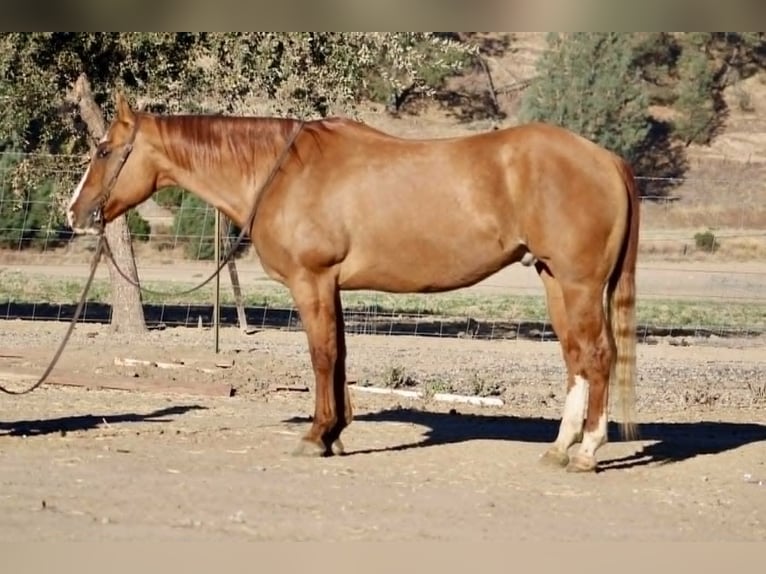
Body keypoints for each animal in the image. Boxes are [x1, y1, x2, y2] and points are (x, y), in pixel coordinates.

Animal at [67, 92, 640, 472]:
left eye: (102, 149)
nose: (75, 213)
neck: (282, 172)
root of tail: (606, 159)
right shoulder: (331, 286)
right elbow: (338, 355)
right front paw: (335, 434)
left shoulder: (311, 281)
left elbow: (322, 356)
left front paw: (316, 435)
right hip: (555, 281)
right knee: (576, 359)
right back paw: (560, 448)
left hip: (579, 284)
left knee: (597, 356)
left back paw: (588, 452)